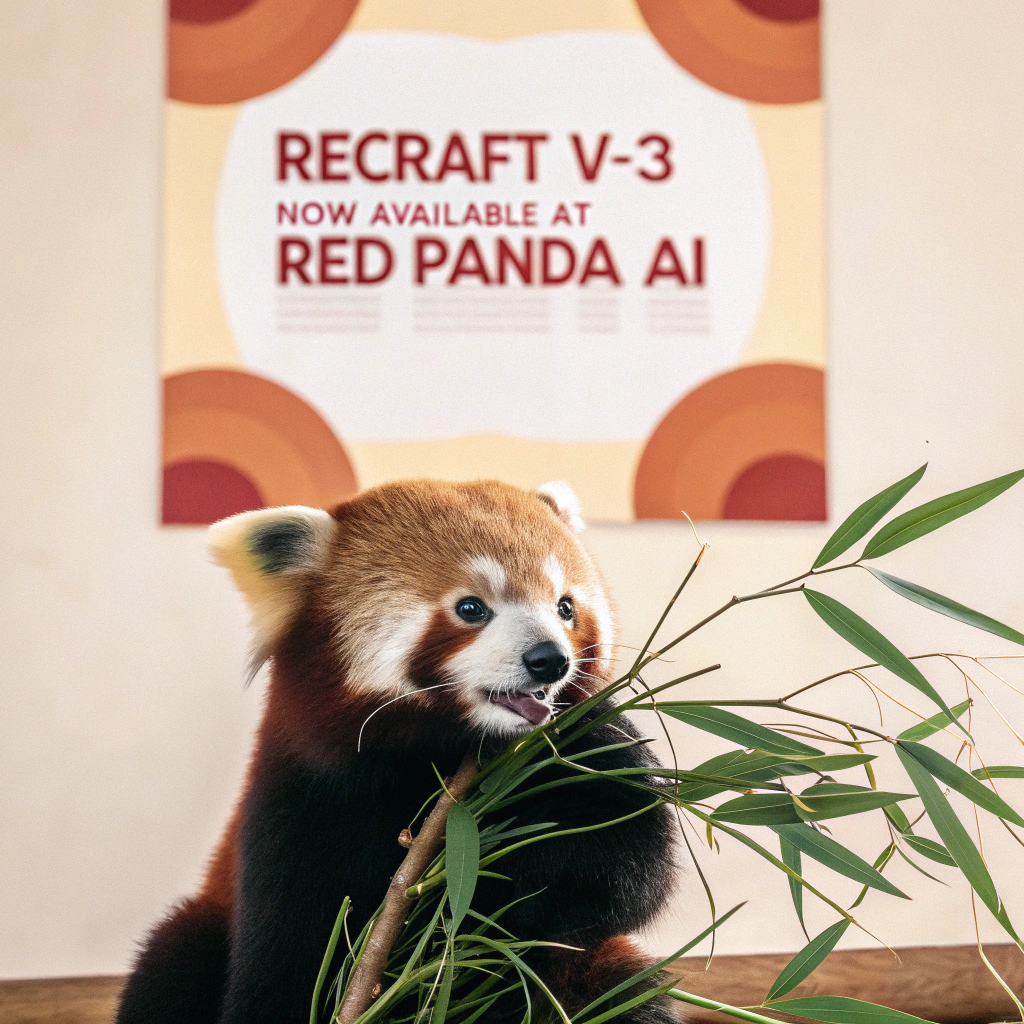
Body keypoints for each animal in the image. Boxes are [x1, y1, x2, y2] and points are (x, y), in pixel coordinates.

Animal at [117, 479, 680, 1023]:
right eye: (471, 608)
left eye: (565, 607)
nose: (550, 659)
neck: (439, 750)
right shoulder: (303, 802)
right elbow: (286, 958)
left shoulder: (583, 765)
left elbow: (622, 872)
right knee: (172, 964)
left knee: (619, 992)